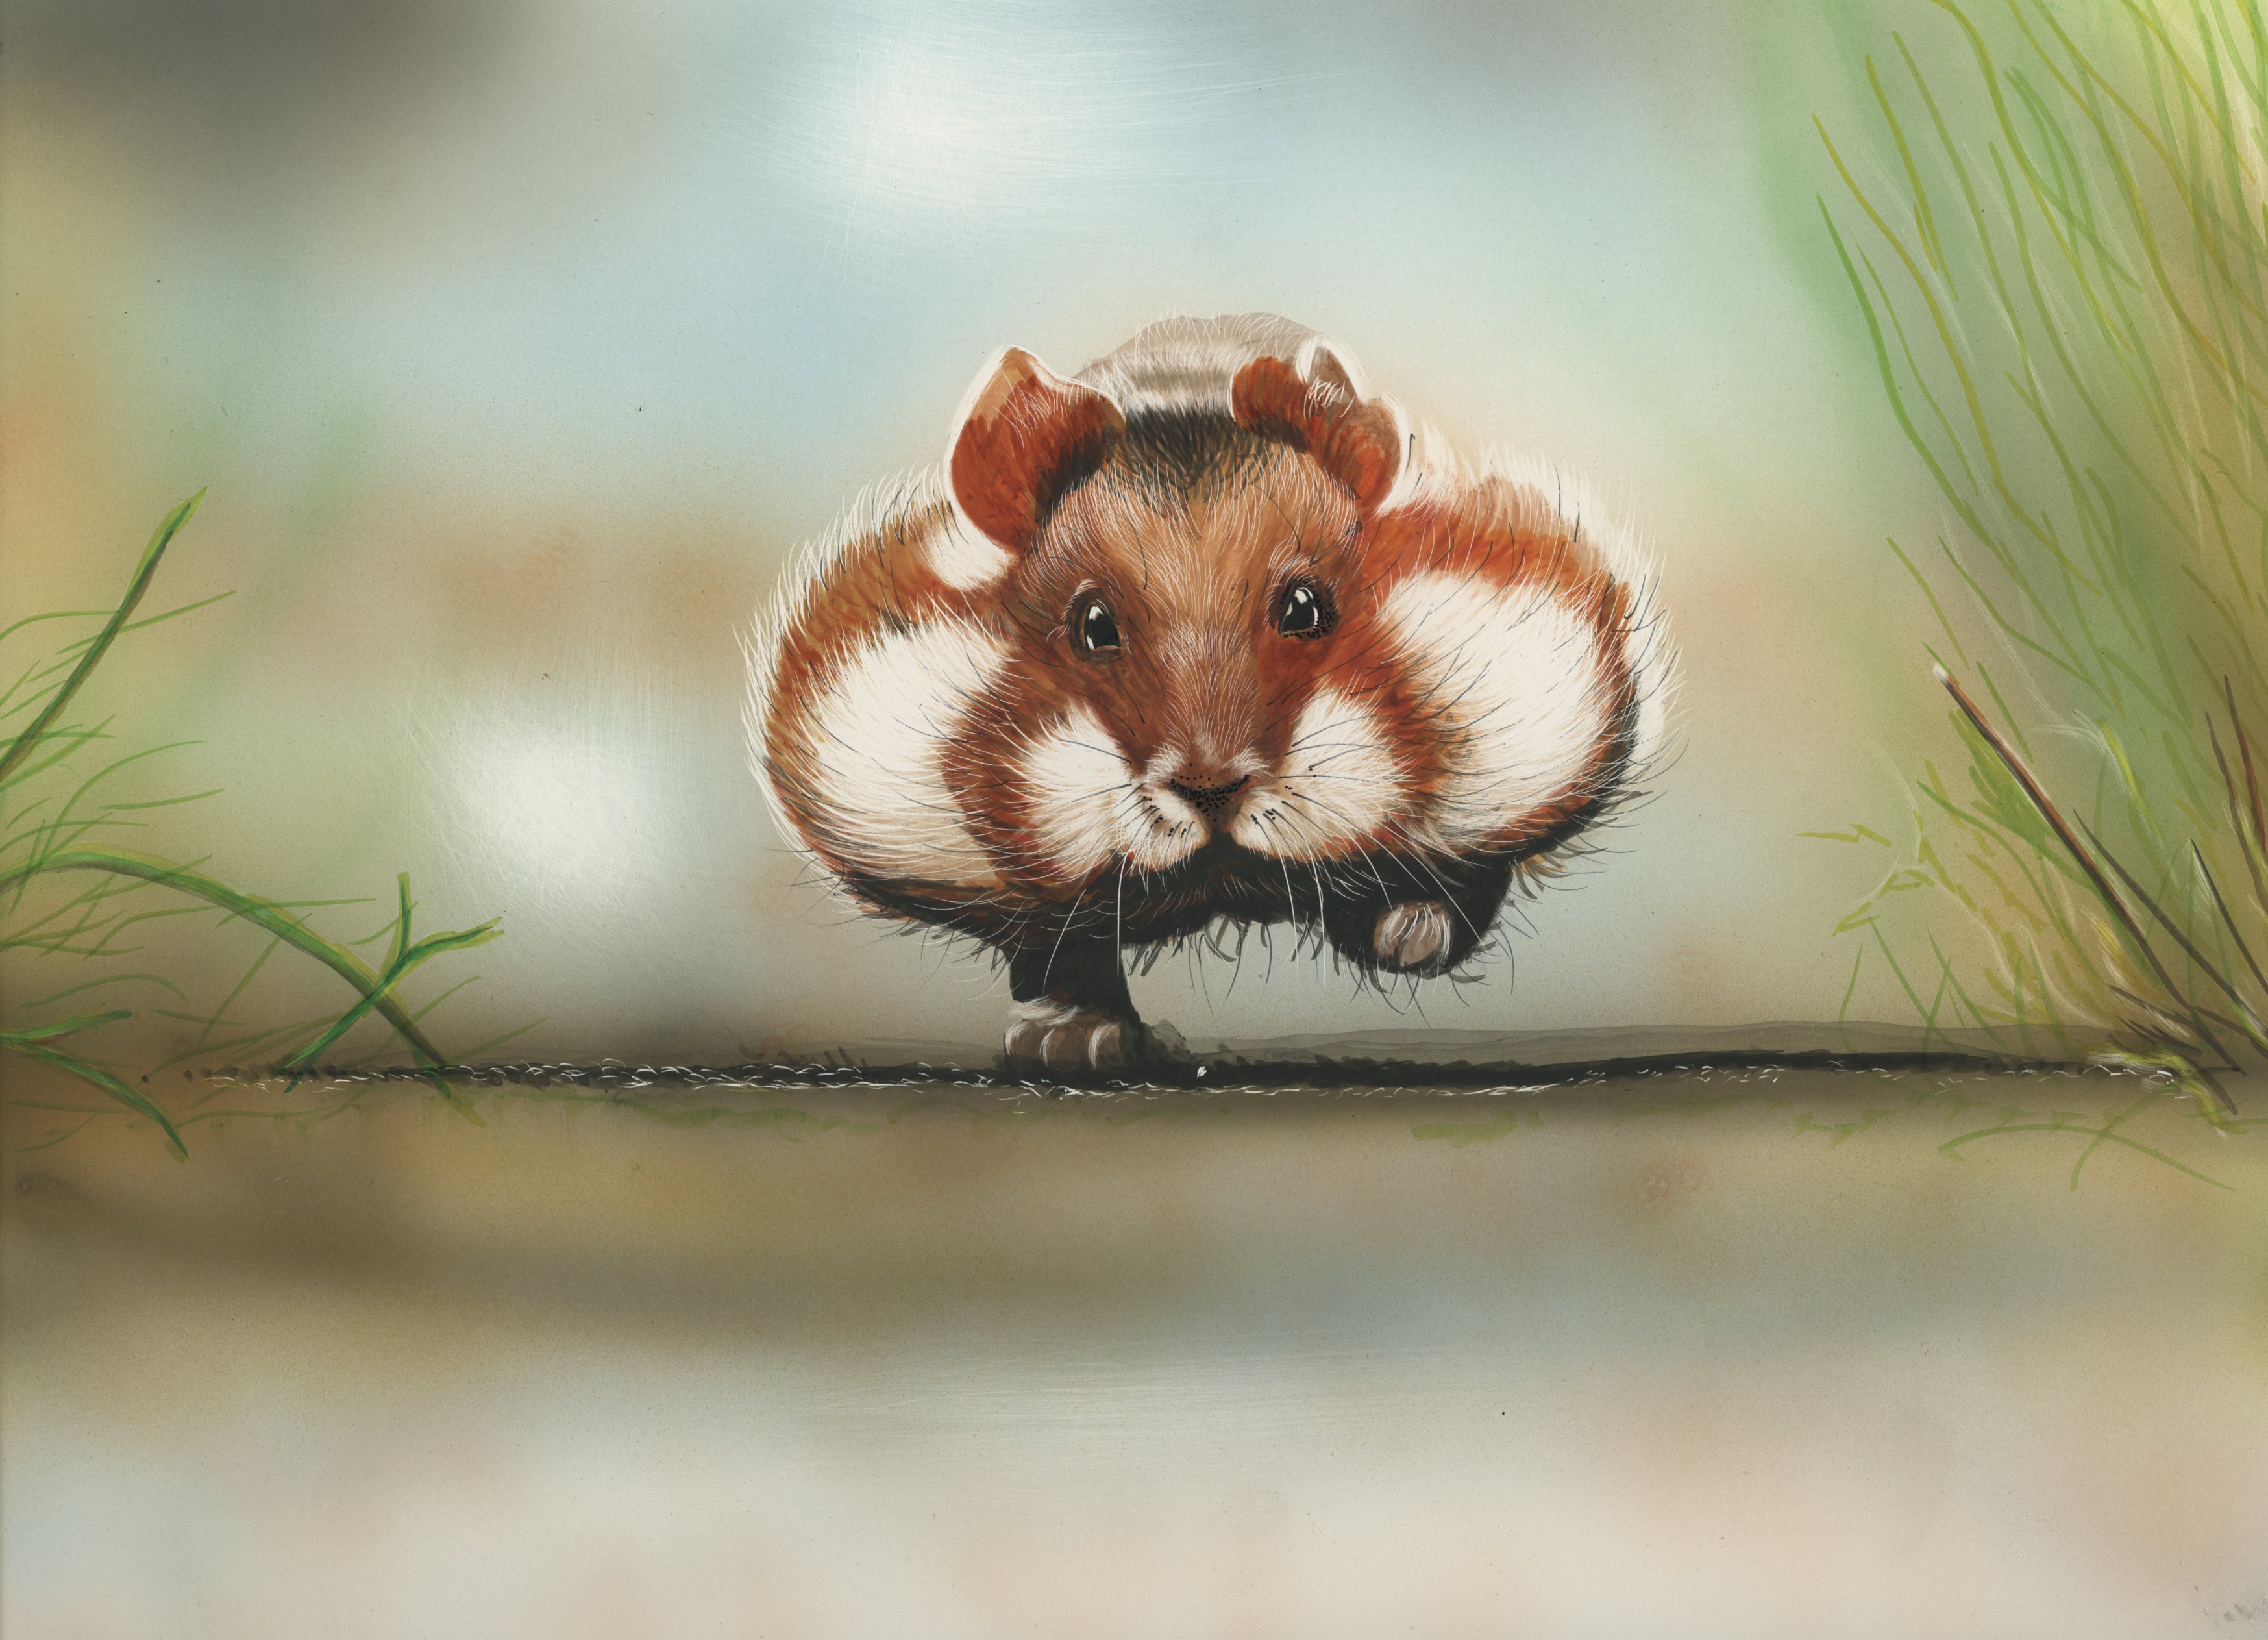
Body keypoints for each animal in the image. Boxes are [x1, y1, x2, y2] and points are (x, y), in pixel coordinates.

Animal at [751, 314, 1671, 1074]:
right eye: (1092, 625)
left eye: (1305, 606)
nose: (1210, 789)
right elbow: (1058, 945)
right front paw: (1072, 1042)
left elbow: (1458, 875)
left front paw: (1406, 933)